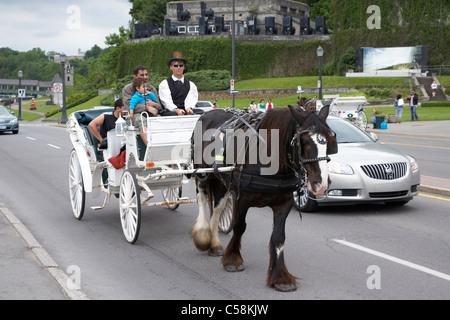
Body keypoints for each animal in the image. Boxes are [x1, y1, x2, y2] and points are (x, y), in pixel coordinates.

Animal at [191, 106, 338, 292]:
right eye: (305, 141)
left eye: (330, 139)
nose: (322, 184)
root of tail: (208, 113)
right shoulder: (241, 199)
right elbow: (239, 227)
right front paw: (233, 260)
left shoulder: (283, 203)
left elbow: (278, 237)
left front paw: (280, 277)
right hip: (202, 174)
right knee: (202, 199)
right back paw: (203, 236)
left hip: (222, 180)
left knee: (217, 208)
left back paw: (214, 244)